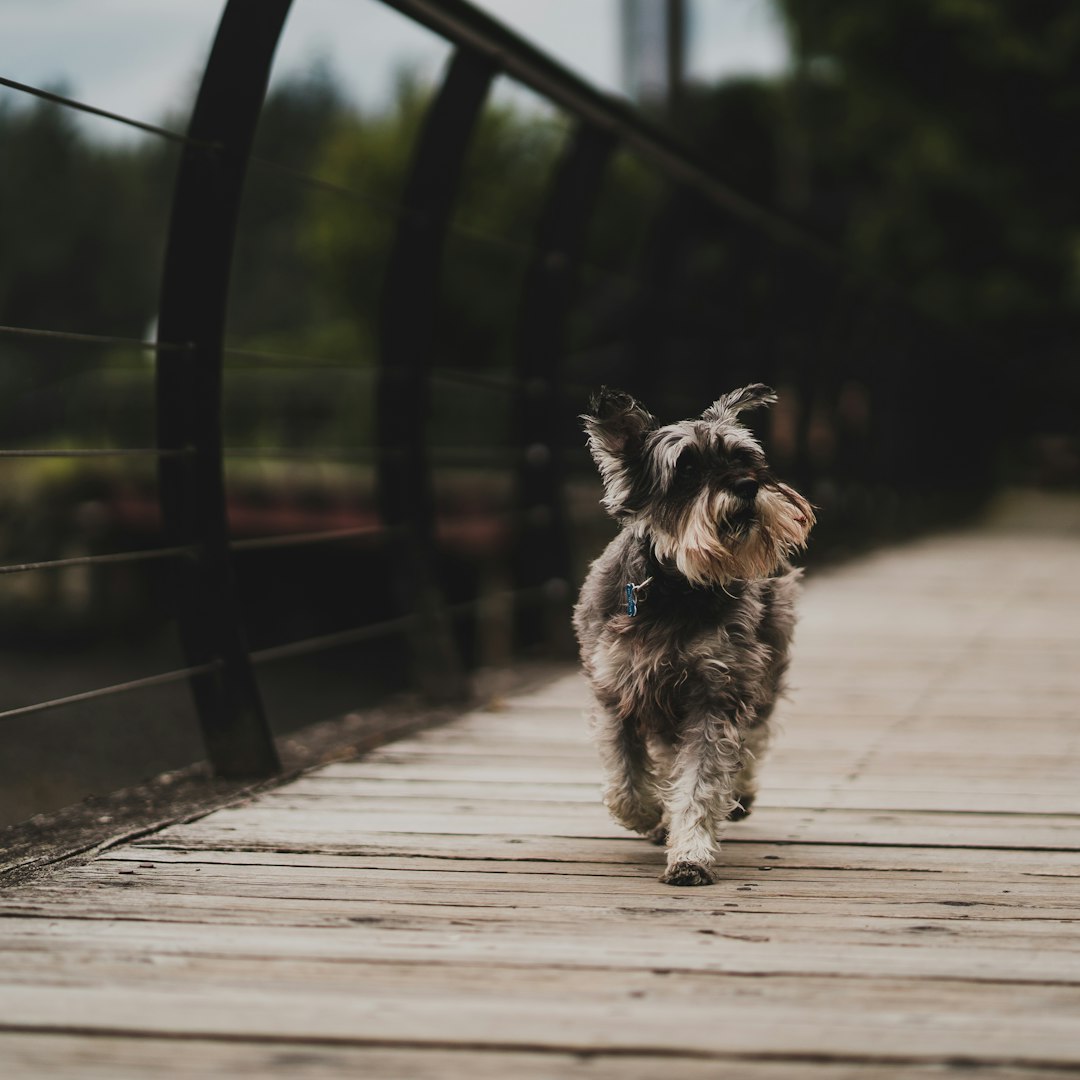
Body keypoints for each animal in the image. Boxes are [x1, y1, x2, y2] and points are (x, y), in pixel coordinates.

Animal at [574, 386, 812, 885]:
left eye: (744, 457)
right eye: (686, 467)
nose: (747, 485)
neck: (677, 587)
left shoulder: (715, 696)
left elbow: (701, 781)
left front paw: (690, 854)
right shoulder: (616, 694)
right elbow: (625, 780)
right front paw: (649, 816)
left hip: (764, 675)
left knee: (754, 737)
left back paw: (740, 795)